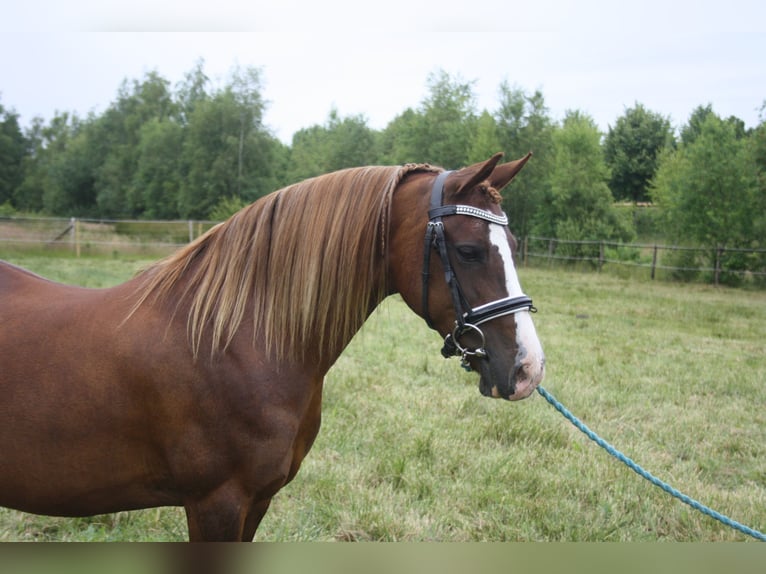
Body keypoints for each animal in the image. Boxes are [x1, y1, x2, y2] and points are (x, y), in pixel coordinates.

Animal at [0, 154, 544, 544]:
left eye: (515, 246)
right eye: (469, 251)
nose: (528, 369)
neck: (233, 341)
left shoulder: (256, 501)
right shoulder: (215, 503)